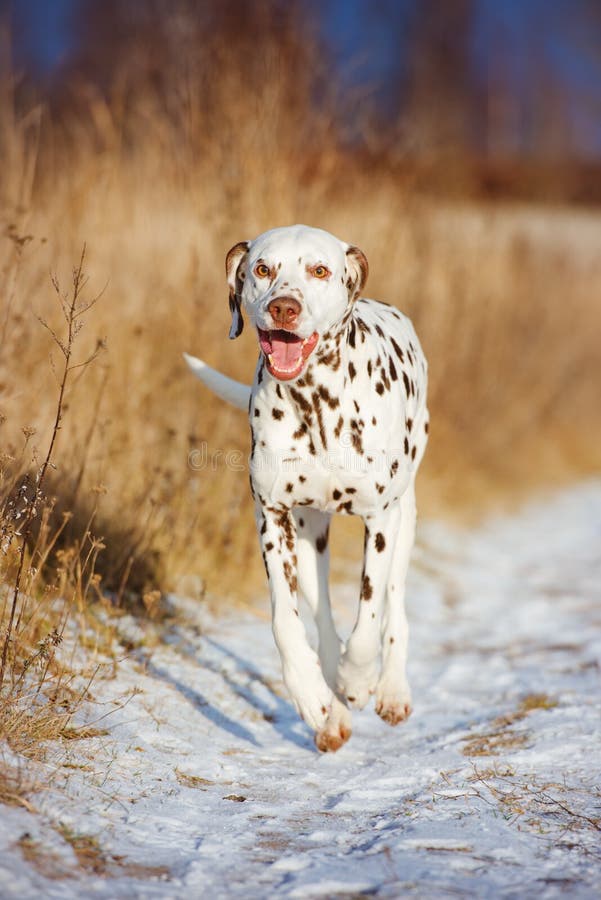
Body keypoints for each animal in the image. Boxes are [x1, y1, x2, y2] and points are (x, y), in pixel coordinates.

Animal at [185, 223, 428, 752]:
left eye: (319, 270)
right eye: (262, 268)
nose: (284, 308)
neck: (317, 400)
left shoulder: (380, 519)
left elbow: (369, 616)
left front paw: (359, 680)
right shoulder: (272, 517)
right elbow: (286, 621)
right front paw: (313, 695)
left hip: (404, 516)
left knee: (395, 604)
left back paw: (389, 689)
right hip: (308, 531)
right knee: (324, 619)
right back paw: (332, 702)